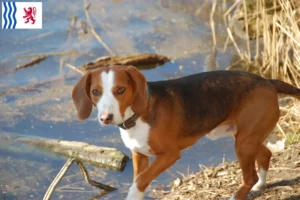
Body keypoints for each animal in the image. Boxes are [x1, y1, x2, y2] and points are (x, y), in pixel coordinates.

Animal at [72, 65, 300, 199]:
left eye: (120, 90)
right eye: (95, 92)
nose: (106, 118)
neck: (137, 116)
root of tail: (267, 81)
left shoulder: (169, 155)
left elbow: (140, 181)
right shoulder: (139, 154)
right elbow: (139, 178)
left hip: (244, 144)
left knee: (249, 176)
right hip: (246, 138)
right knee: (266, 154)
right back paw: (260, 186)